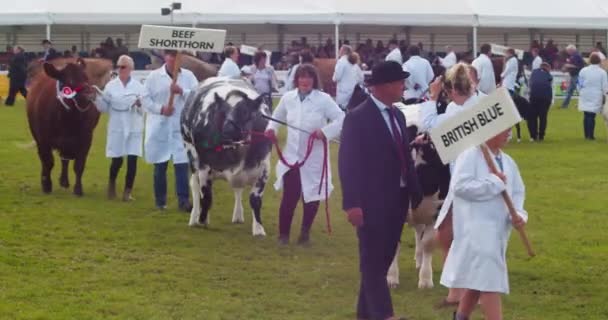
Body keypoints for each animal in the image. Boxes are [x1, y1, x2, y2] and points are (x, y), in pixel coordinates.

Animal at [26, 58, 113, 196]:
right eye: (69, 81)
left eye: (86, 78)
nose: (89, 95)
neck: (68, 118)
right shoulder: (43, 139)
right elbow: (48, 161)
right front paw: (47, 185)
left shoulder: (86, 138)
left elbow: (79, 165)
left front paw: (78, 189)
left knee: (65, 159)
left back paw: (64, 181)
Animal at [179, 78, 272, 235]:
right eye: (222, 112)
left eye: (245, 111)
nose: (227, 131)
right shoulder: (204, 166)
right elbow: (206, 196)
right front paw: (202, 220)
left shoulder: (264, 167)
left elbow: (255, 200)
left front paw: (259, 229)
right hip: (191, 153)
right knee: (196, 188)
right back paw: (194, 217)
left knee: (238, 189)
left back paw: (238, 215)